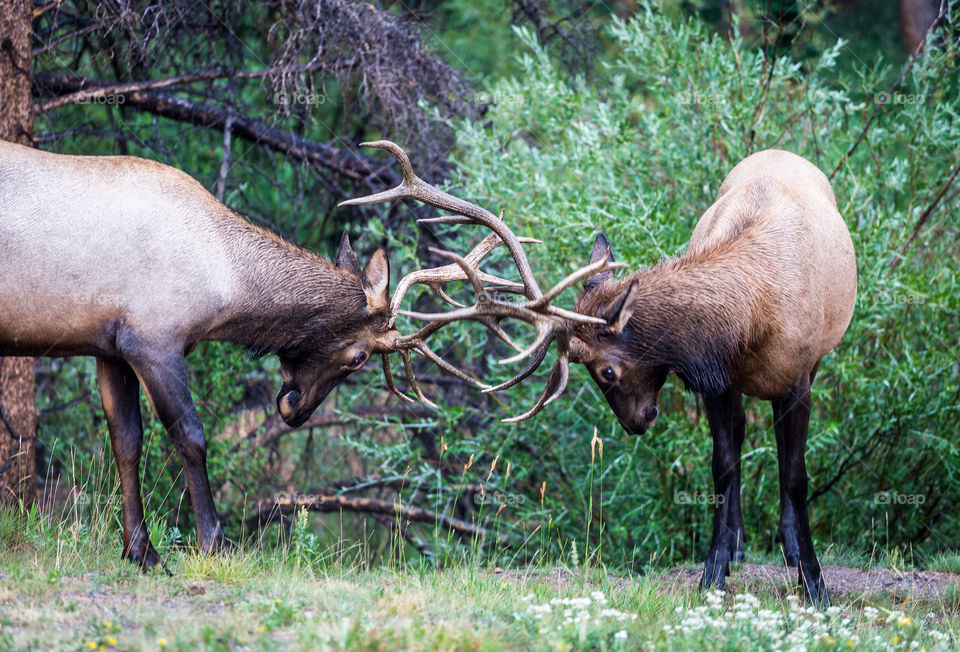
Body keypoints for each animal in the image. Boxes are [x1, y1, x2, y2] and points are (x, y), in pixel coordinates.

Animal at [0, 138, 614, 570]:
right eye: (360, 357)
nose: (294, 409)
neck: (224, 284)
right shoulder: (155, 339)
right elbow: (191, 438)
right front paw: (214, 542)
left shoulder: (109, 344)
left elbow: (125, 442)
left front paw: (140, 552)